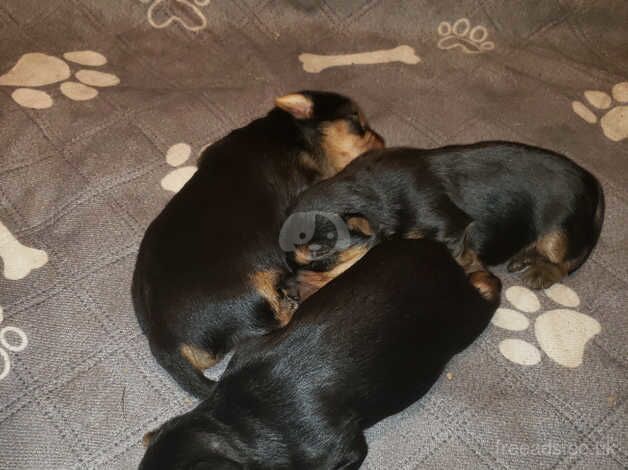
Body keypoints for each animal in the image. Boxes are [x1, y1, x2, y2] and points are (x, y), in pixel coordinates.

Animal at [284, 141, 604, 296]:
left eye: (319, 258)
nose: (293, 295)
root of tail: (592, 181)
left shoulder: (448, 227)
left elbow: (459, 256)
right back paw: (522, 258)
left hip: (560, 230)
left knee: (564, 261)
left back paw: (540, 272)